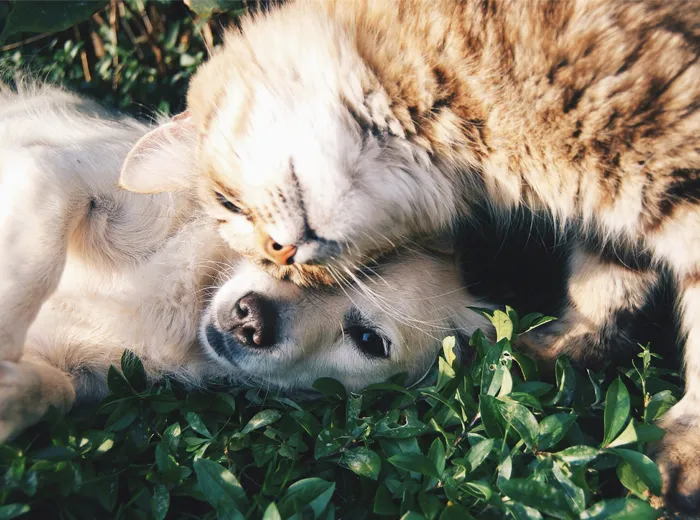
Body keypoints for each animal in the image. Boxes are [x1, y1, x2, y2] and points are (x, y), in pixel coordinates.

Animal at [0, 84, 490, 442]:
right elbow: (35, 268)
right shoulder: (57, 171)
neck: (188, 295)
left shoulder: (84, 374)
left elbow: (57, 390)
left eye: (369, 341)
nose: (251, 319)